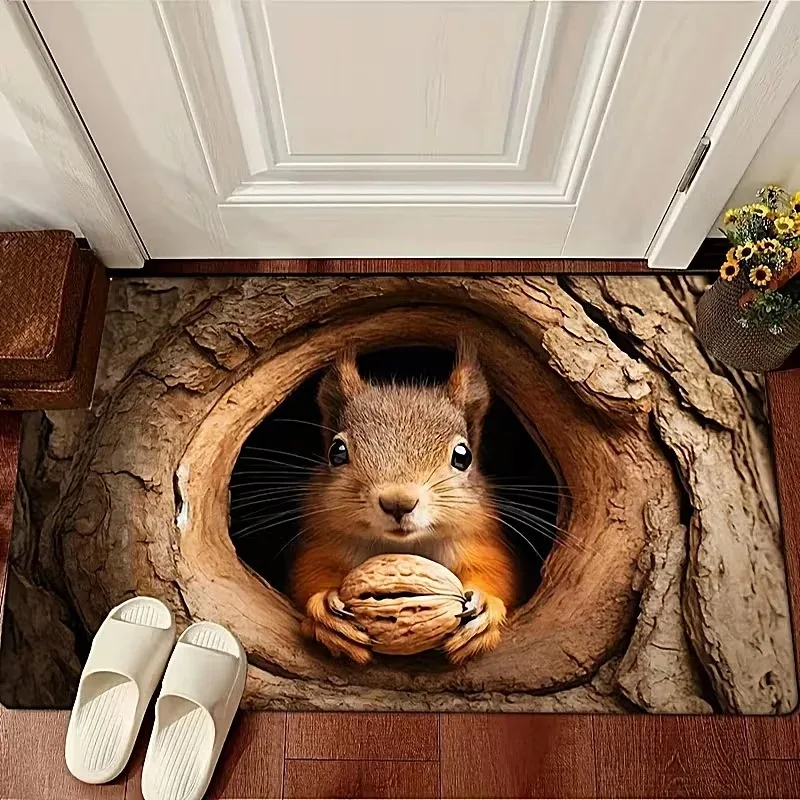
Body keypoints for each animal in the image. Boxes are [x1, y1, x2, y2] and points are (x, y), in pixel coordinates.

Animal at [289, 341, 522, 665]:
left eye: (463, 456)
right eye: (337, 451)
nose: (398, 503)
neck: (405, 546)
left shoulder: (478, 539)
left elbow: (498, 573)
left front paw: (486, 606)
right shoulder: (324, 539)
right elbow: (308, 573)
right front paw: (325, 606)